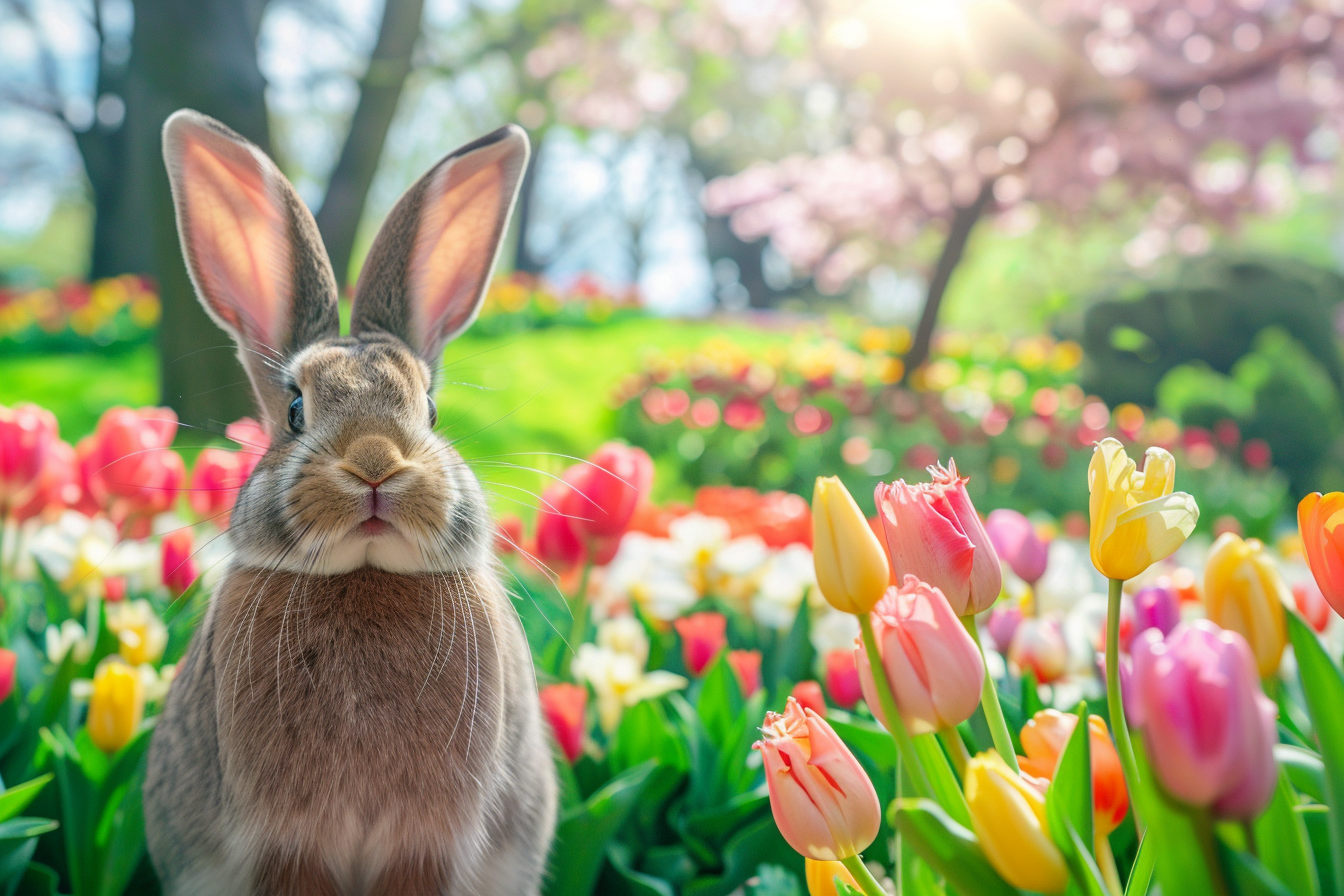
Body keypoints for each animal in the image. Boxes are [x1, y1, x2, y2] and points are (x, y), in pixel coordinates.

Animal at [143, 109, 557, 896]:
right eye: (295, 410)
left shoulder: (427, 847)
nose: (374, 465)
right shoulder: (284, 847)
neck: (364, 575)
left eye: (431, 408)